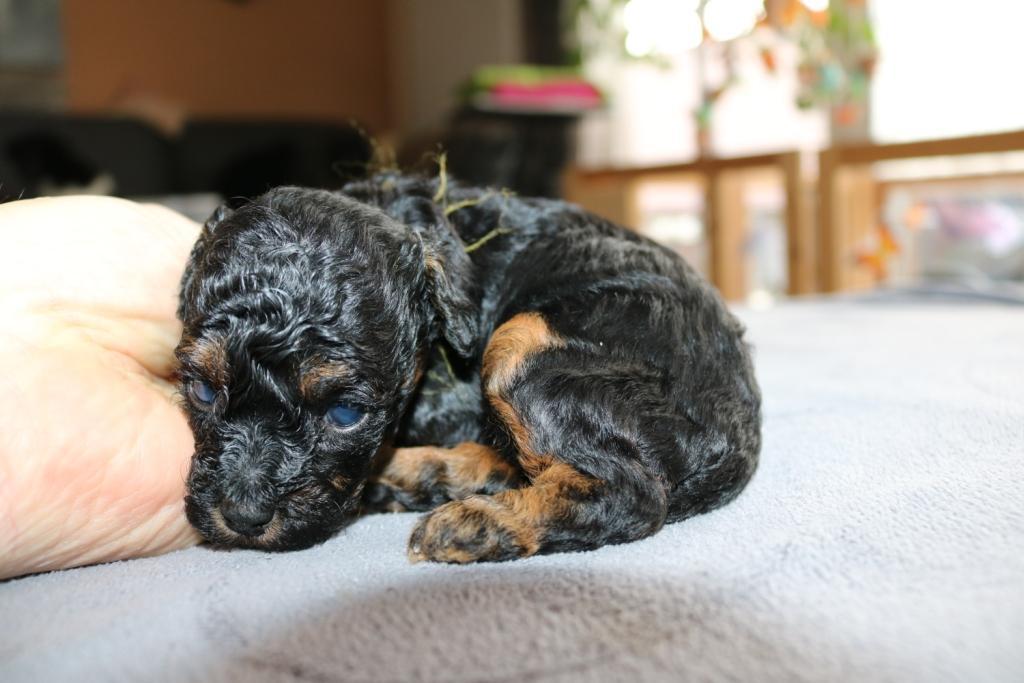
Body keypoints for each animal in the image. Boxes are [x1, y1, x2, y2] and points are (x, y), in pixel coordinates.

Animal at [175, 173, 761, 563]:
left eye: (344, 413)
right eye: (202, 391)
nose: (244, 517)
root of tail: (739, 442)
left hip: (519, 342)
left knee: (631, 493)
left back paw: (477, 523)